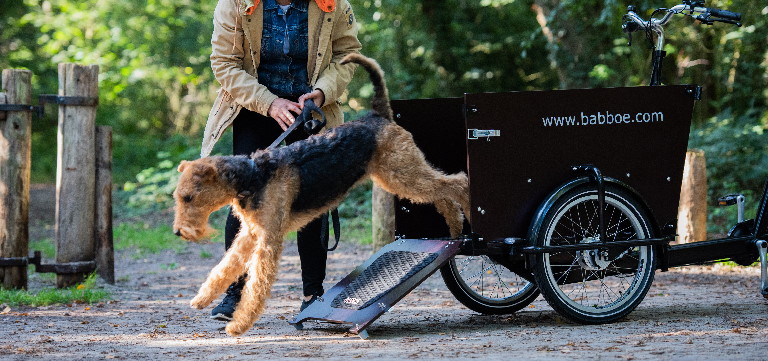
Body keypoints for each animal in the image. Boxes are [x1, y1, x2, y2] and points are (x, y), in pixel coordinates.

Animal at [173, 52, 472, 334]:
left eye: (189, 197)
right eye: (178, 198)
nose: (177, 232)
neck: (252, 175)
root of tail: (379, 115)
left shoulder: (269, 240)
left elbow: (257, 284)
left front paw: (239, 324)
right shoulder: (250, 234)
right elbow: (226, 266)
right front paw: (202, 298)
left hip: (404, 174)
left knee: (457, 182)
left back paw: (468, 213)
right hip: (398, 178)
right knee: (442, 195)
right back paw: (455, 227)